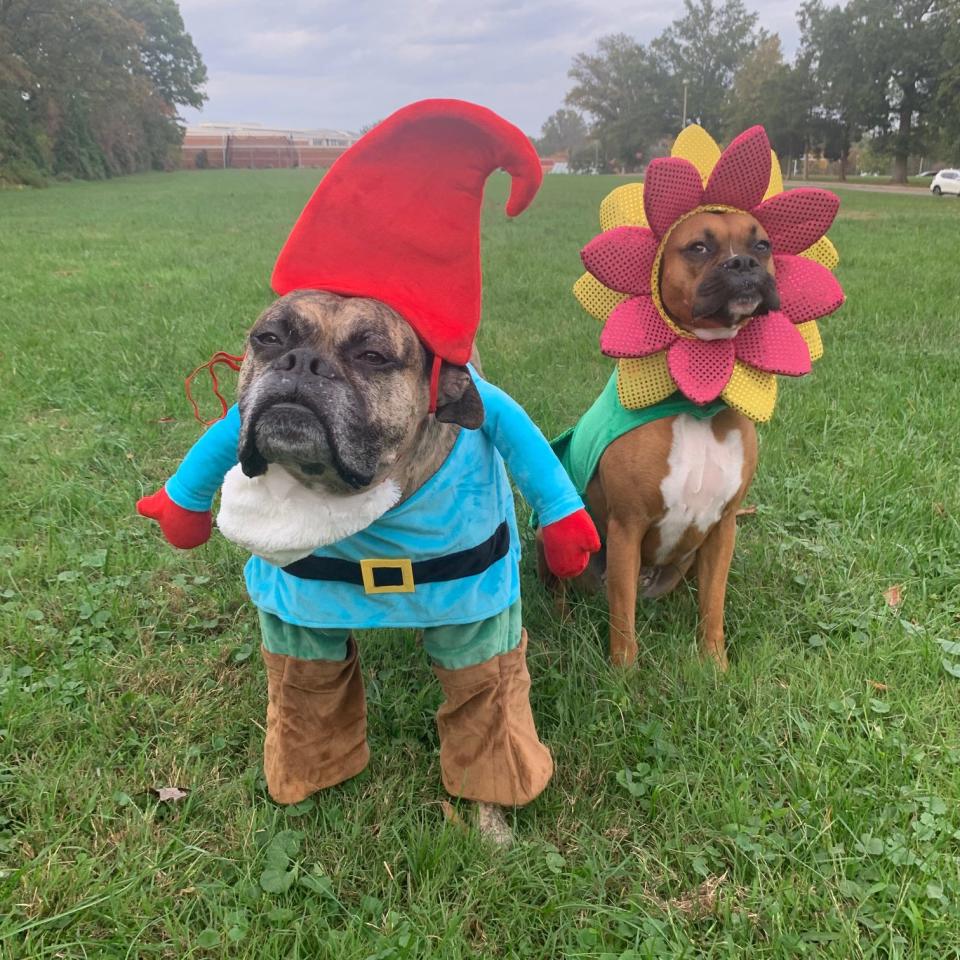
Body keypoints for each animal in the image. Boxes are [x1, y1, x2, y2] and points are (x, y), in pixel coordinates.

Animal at [540, 212, 780, 668]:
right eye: (699, 247)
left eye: (762, 246)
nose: (743, 263)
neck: (697, 399)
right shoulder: (627, 527)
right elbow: (623, 617)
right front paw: (624, 673)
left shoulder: (723, 527)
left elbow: (713, 606)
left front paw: (714, 663)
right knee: (559, 588)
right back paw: (561, 618)